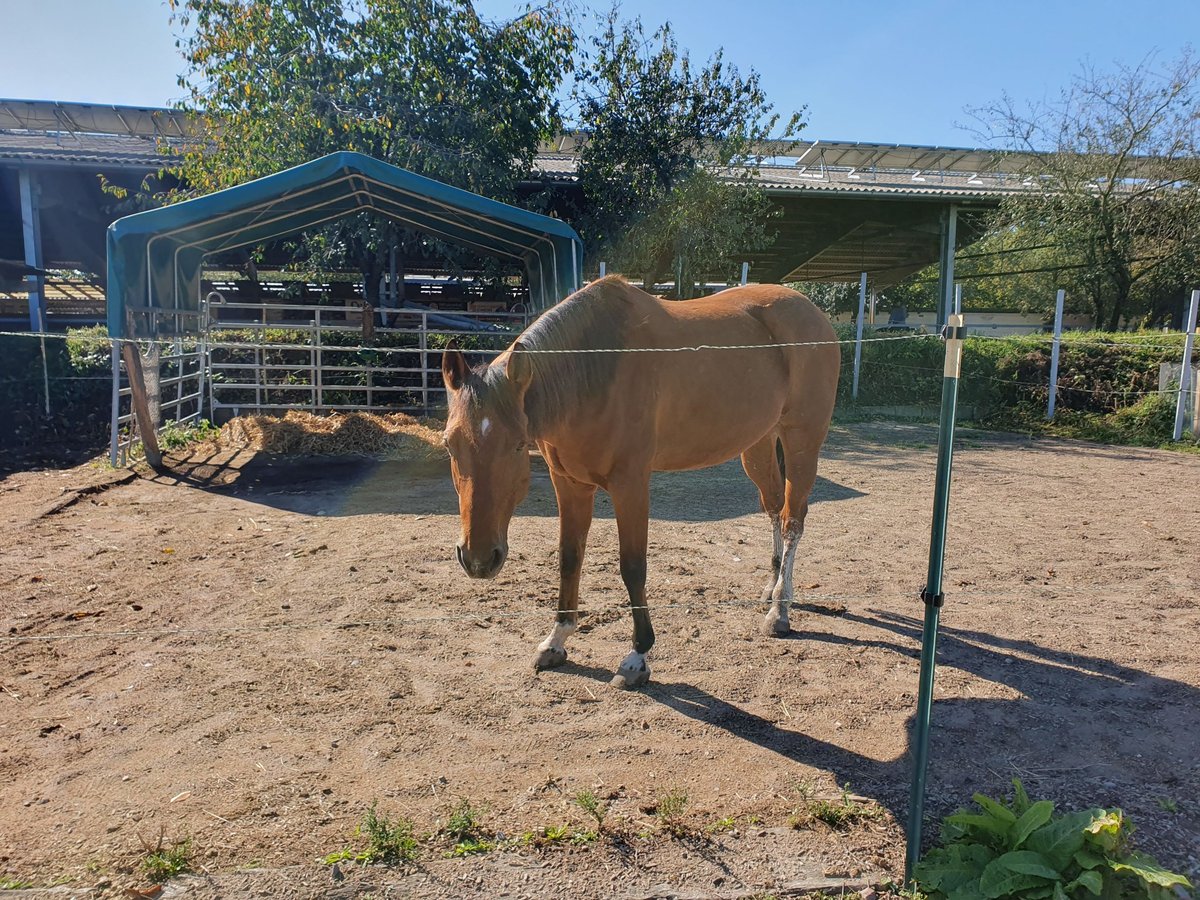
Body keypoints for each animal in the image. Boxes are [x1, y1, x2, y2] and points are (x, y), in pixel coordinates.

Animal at [436, 277, 840, 691]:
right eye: (449, 444)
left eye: (518, 444)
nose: (479, 559)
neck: (593, 368)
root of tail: (811, 310)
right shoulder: (569, 484)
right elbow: (569, 557)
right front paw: (556, 639)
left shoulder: (630, 485)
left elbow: (633, 566)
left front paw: (637, 657)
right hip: (758, 445)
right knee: (774, 507)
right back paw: (772, 588)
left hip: (802, 441)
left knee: (792, 521)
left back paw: (780, 611)